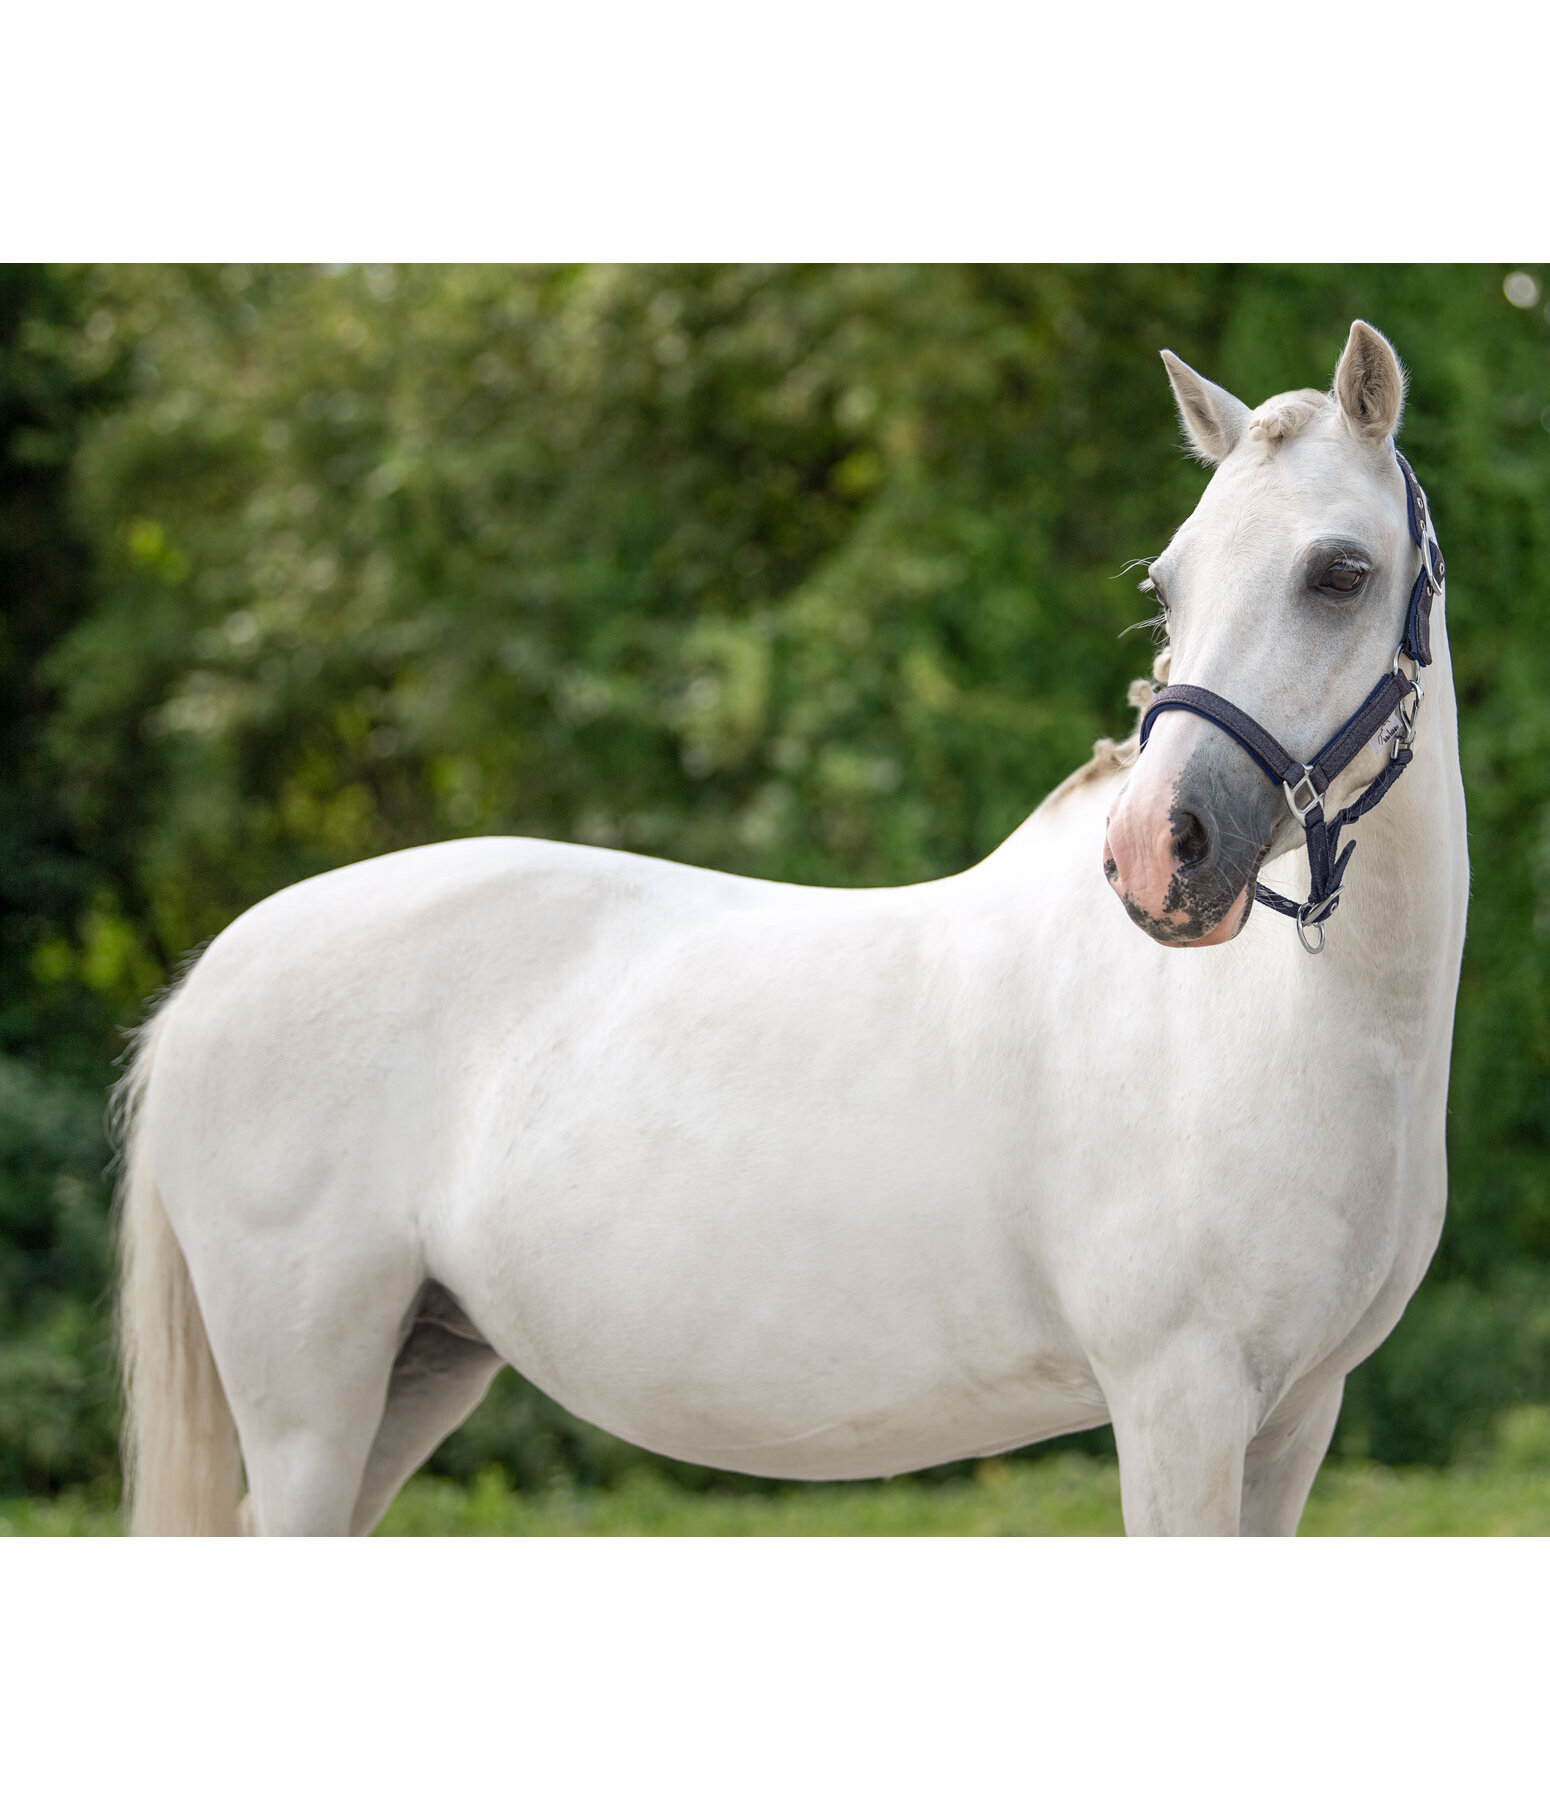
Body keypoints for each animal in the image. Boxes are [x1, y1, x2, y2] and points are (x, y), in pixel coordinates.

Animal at [117, 320, 1461, 1533]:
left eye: (1339, 573)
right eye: (1165, 583)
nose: (1152, 851)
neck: (1272, 1038)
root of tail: (220, 966)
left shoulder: (1292, 1419)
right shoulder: (1177, 1405)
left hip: (417, 1368)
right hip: (309, 1405)